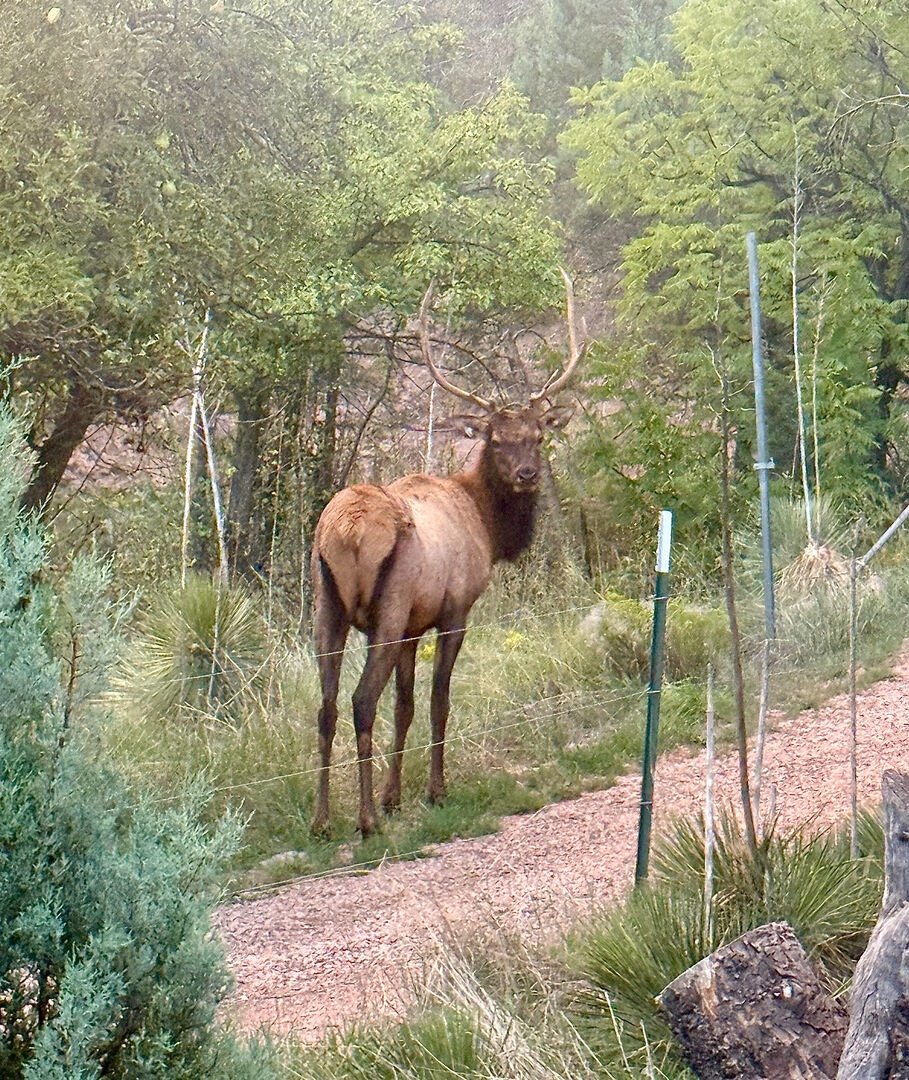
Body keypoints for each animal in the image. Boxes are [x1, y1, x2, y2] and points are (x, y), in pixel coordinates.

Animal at [310, 271, 585, 836]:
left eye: (537, 435)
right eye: (497, 440)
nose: (527, 474)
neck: (487, 527)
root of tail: (342, 532)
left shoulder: (415, 626)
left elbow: (405, 705)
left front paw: (395, 795)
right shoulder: (454, 609)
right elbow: (438, 701)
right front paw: (433, 791)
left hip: (326, 604)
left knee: (325, 706)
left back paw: (322, 819)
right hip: (386, 611)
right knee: (360, 701)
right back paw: (365, 820)